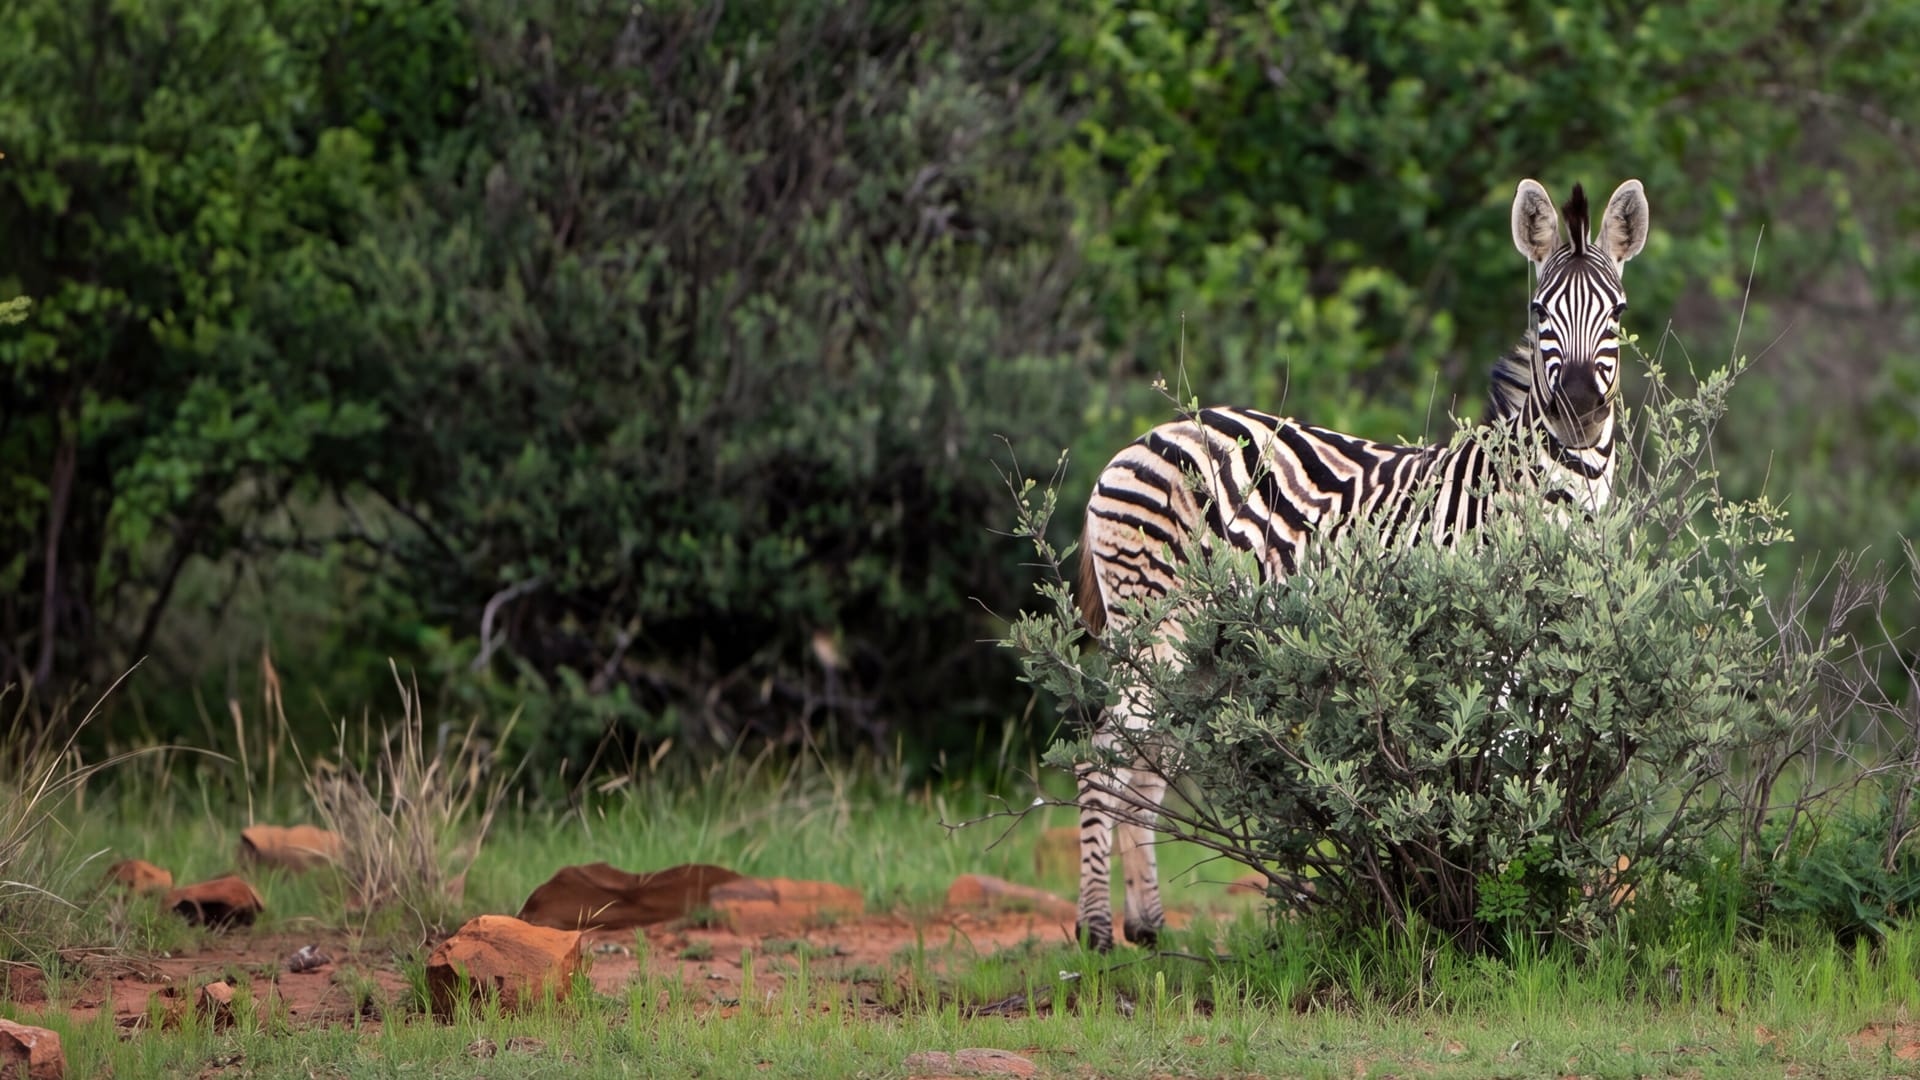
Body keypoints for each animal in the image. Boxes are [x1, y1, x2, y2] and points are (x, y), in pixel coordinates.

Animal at [1068, 178, 1651, 951]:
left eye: (1618, 311)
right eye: (1538, 312)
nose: (1581, 408)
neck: (1554, 493)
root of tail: (1139, 440)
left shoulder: (1558, 643)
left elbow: (1548, 769)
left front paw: (1552, 904)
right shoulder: (1486, 640)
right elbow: (1493, 770)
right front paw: (1499, 907)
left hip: (1198, 644)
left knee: (1147, 763)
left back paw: (1151, 925)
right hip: (1155, 624)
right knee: (1100, 758)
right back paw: (1097, 934)